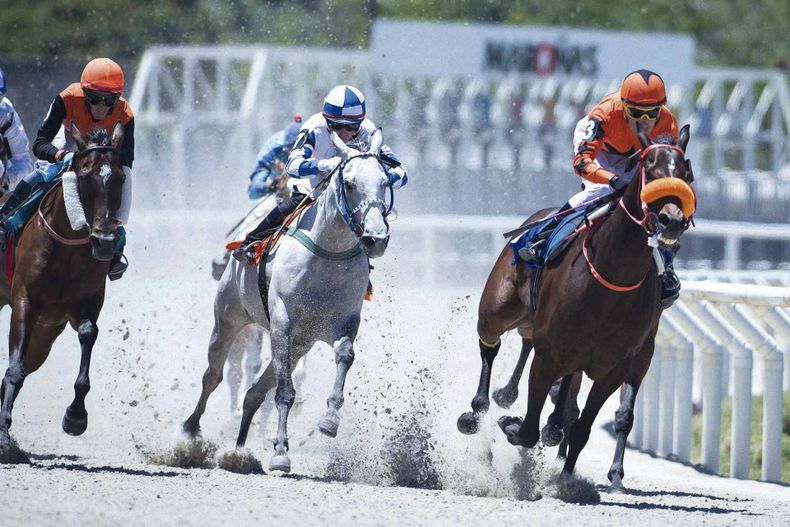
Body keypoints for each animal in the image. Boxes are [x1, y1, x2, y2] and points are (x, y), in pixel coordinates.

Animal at [0, 123, 127, 455]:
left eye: (120, 178)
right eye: (84, 177)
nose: (105, 242)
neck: (65, 247)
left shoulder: (82, 304)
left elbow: (88, 334)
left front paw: (76, 416)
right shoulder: (24, 300)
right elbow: (15, 368)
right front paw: (3, 434)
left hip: (46, 334)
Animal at [184, 130, 392, 473]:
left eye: (385, 181)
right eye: (349, 183)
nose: (376, 238)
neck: (327, 255)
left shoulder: (342, 322)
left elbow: (344, 356)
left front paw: (329, 419)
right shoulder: (282, 323)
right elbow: (284, 392)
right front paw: (281, 452)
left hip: (299, 344)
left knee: (254, 393)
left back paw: (238, 452)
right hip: (229, 318)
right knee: (214, 375)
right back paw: (191, 431)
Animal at [457, 125, 695, 491]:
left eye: (685, 172)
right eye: (650, 168)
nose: (672, 220)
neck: (611, 278)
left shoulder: (615, 366)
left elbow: (584, 426)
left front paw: (567, 481)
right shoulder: (548, 354)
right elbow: (529, 428)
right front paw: (512, 423)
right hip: (497, 310)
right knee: (490, 346)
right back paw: (479, 410)